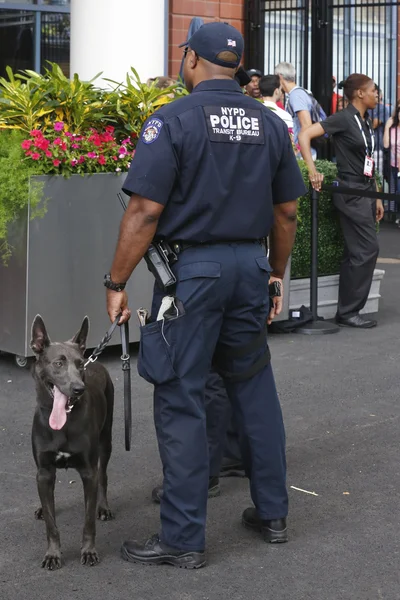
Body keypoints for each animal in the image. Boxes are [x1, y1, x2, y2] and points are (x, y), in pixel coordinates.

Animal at [30, 316, 112, 568]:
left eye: (79, 364)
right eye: (58, 363)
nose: (78, 389)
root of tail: (95, 361)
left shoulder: (88, 471)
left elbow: (88, 521)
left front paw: (88, 551)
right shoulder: (44, 471)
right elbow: (51, 522)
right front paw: (53, 554)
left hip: (106, 442)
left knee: (103, 475)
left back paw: (104, 507)